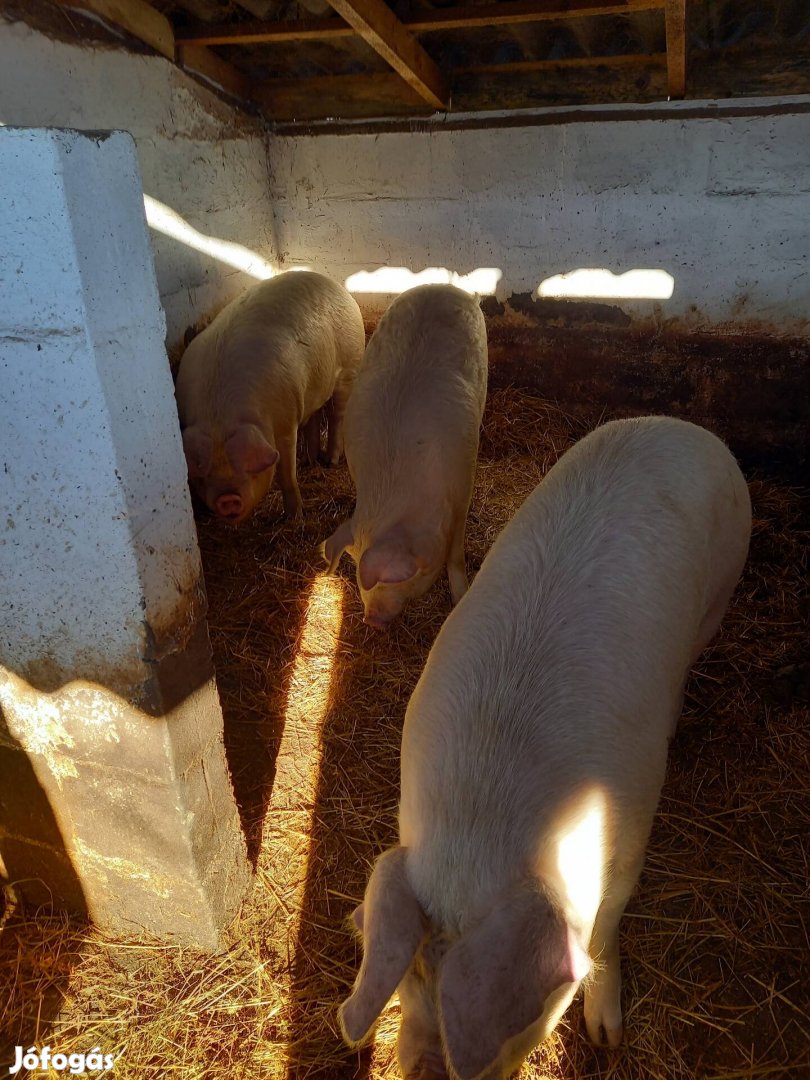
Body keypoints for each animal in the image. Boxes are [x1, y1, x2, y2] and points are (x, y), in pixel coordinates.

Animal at [180, 270, 367, 522]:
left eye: (249, 470)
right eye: (204, 477)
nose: (227, 498)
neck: (219, 416)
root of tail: (337, 286)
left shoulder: (286, 421)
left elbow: (286, 473)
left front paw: (295, 517)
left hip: (349, 366)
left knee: (337, 415)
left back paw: (330, 462)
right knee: (315, 415)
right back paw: (309, 460)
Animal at [321, 282, 488, 630]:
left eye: (396, 579)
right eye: (352, 564)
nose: (371, 619)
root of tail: (444, 285)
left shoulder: (464, 481)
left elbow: (456, 554)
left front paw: (460, 598)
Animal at [339, 414, 751, 1080]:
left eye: (513, 1015)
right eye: (412, 974)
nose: (426, 1067)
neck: (482, 822)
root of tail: (681, 425)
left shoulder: (633, 827)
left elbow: (605, 930)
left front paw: (607, 1038)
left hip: (721, 587)